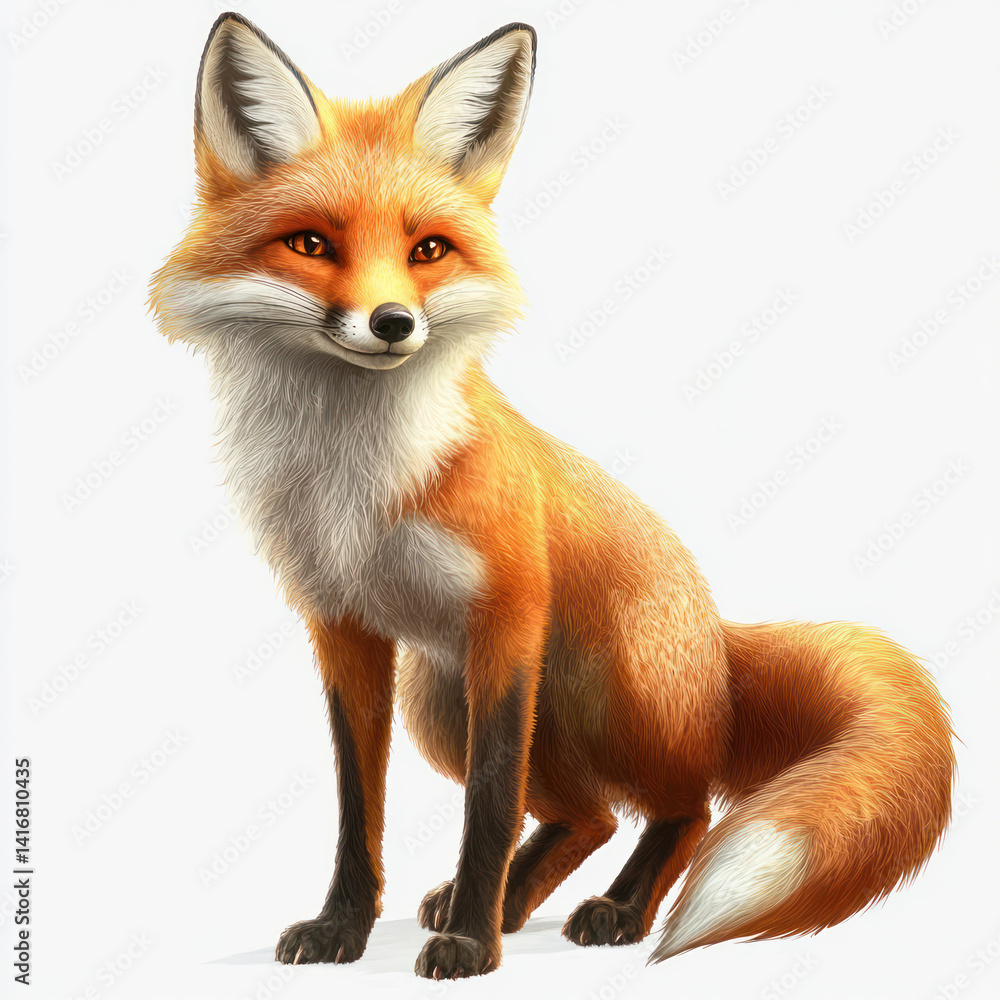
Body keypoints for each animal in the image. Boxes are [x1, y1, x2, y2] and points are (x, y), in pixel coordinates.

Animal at [149, 13, 956, 980]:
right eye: (311, 245)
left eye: (427, 250)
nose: (393, 324)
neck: (360, 486)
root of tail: (717, 638)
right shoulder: (344, 630)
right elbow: (357, 808)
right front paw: (346, 926)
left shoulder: (507, 619)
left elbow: (490, 812)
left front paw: (470, 944)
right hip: (438, 702)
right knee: (588, 814)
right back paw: (503, 899)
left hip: (612, 699)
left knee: (685, 806)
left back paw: (613, 910)